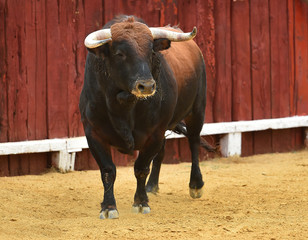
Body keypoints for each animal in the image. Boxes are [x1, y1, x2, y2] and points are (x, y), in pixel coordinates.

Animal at [78, 16, 211, 219]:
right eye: (119, 53)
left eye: (150, 52)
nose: (147, 86)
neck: (123, 103)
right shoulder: (93, 133)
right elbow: (108, 170)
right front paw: (108, 207)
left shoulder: (153, 134)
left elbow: (141, 168)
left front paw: (140, 203)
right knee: (163, 151)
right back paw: (152, 186)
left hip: (197, 110)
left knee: (194, 142)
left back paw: (196, 184)